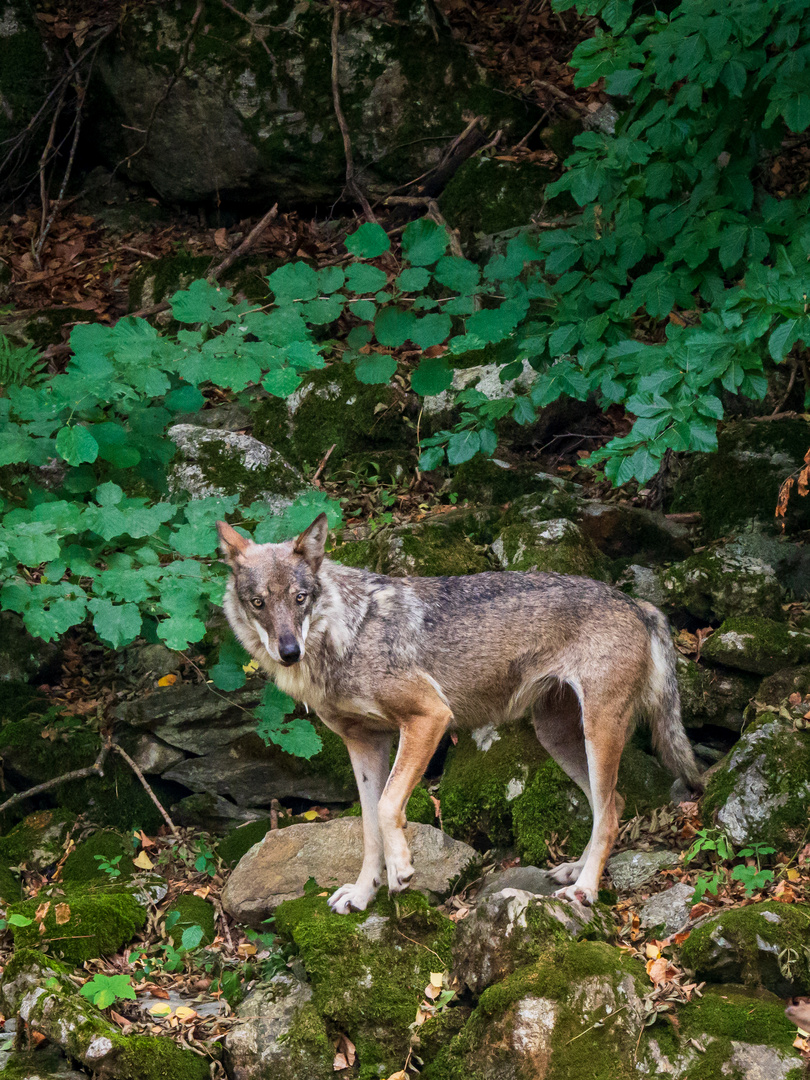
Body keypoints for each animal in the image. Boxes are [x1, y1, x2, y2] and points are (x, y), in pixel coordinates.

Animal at [217, 511, 704, 911]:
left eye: (300, 597)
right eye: (259, 602)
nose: (288, 652)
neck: (345, 634)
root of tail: (637, 603)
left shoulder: (429, 718)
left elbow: (387, 807)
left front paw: (402, 871)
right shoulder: (364, 742)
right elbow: (368, 825)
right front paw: (361, 894)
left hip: (596, 732)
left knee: (609, 813)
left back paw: (584, 889)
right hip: (558, 737)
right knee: (611, 803)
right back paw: (574, 872)